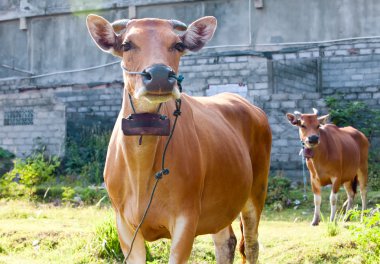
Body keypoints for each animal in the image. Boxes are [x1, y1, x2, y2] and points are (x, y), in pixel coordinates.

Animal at [87, 14, 270, 264]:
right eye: (126, 44)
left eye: (178, 45)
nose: (159, 76)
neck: (141, 171)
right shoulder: (123, 223)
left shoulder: (186, 218)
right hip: (220, 204)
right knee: (226, 242)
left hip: (257, 190)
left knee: (251, 245)